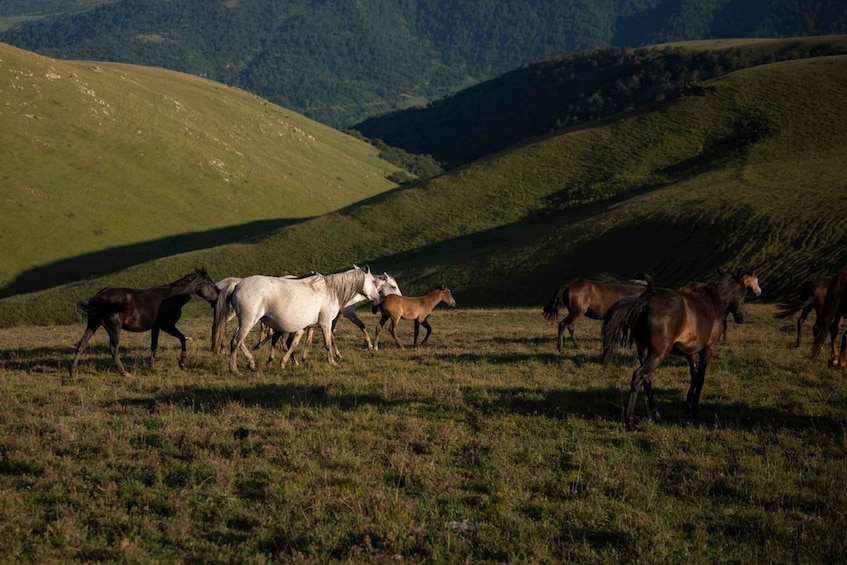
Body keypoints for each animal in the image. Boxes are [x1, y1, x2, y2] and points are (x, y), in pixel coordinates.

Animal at [68, 268, 219, 376]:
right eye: (210, 283)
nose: (218, 295)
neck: (171, 299)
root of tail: (100, 296)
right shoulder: (167, 326)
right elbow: (182, 338)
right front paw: (182, 363)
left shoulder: (156, 327)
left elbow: (154, 345)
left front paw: (151, 365)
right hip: (114, 329)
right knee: (113, 349)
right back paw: (124, 373)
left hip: (93, 324)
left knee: (82, 344)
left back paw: (72, 372)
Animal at [214, 266, 382, 372]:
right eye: (373, 282)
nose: (377, 299)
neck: (330, 291)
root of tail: (237, 284)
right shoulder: (325, 323)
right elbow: (327, 344)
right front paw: (333, 362)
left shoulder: (305, 327)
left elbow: (295, 344)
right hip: (249, 321)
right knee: (236, 341)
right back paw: (234, 369)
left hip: (245, 321)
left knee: (238, 340)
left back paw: (251, 363)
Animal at [604, 268, 760, 428]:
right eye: (744, 291)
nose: (742, 317)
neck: (713, 304)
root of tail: (646, 301)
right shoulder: (707, 349)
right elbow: (701, 377)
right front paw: (695, 409)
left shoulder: (690, 351)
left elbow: (694, 374)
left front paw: (688, 402)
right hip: (657, 354)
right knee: (638, 376)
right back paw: (630, 420)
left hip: (643, 350)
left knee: (647, 378)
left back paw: (655, 412)